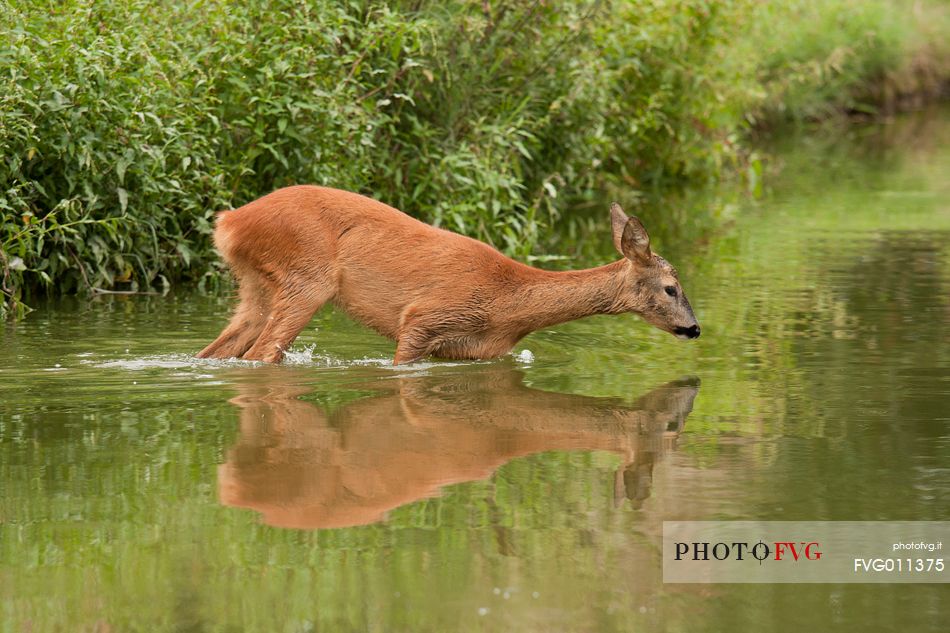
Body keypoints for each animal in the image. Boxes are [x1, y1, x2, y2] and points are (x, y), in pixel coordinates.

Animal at [197, 185, 700, 362]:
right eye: (671, 288)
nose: (694, 329)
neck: (507, 304)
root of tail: (229, 222)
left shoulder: (468, 353)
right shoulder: (423, 318)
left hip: (258, 286)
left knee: (221, 349)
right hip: (307, 278)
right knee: (262, 354)